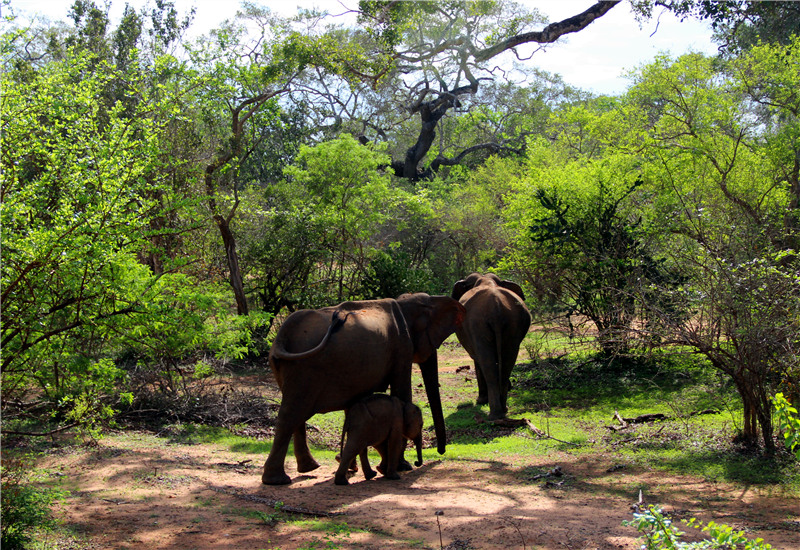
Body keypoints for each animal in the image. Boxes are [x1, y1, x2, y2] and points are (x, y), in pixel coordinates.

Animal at [262, 292, 465, 485]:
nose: (440, 453)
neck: (404, 302)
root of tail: (282, 336)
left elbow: (353, 406)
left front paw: (352, 466)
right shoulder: (402, 348)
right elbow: (401, 392)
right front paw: (401, 467)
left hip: (287, 368)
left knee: (296, 413)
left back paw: (308, 468)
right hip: (304, 369)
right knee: (291, 414)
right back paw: (278, 480)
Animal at [451, 273, 531, 420]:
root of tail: (497, 308)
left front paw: (480, 401)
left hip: (477, 325)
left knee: (487, 364)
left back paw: (494, 414)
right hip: (513, 324)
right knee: (507, 362)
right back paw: (503, 410)